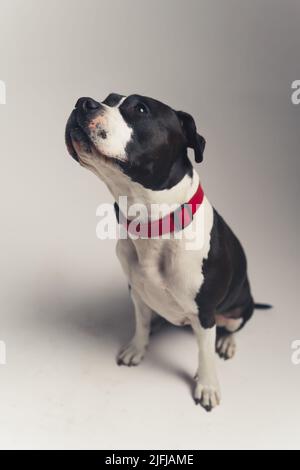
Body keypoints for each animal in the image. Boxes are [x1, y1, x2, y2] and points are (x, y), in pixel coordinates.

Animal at [65, 93, 270, 410]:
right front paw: (138, 347)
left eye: (140, 109)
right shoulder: (136, 291)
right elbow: (140, 323)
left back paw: (226, 342)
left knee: (233, 326)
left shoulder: (206, 311)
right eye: (109, 99)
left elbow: (205, 354)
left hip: (239, 308)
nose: (83, 102)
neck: (153, 225)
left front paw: (207, 385)